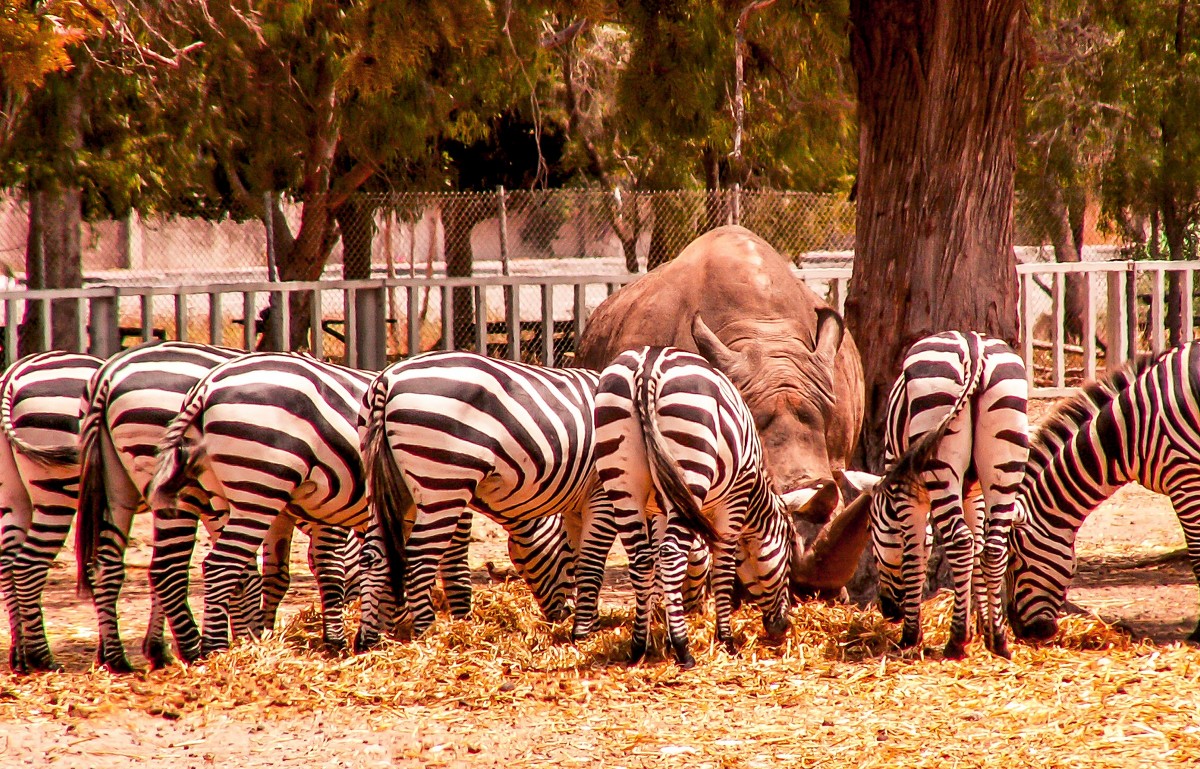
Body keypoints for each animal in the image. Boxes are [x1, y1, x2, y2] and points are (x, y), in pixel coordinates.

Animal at [0, 350, 100, 667]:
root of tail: (14, 374)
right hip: (57, 488)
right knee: (28, 565)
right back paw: (42, 657)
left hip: (12, 493)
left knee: (7, 562)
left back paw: (20, 654)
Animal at [352, 350, 600, 643]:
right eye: (563, 558)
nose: (564, 615)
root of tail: (387, 378)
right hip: (444, 480)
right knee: (419, 556)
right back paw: (427, 633)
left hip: (390, 486)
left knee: (375, 554)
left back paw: (368, 638)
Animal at [588, 340, 820, 667]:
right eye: (789, 555)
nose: (781, 627)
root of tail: (648, 363)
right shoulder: (733, 502)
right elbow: (724, 568)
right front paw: (726, 640)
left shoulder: (661, 507)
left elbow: (657, 567)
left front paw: (660, 633)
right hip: (691, 462)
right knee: (672, 554)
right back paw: (684, 650)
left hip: (621, 479)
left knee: (642, 559)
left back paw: (637, 648)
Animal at [868, 331, 1027, 662]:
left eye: (873, 538)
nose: (888, 611)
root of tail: (972, 346)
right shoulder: (974, 495)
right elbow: (979, 548)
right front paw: (982, 626)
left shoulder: (907, 496)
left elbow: (914, 557)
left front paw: (910, 636)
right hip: (1005, 449)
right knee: (993, 547)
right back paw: (999, 641)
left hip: (938, 445)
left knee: (960, 542)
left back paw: (955, 641)